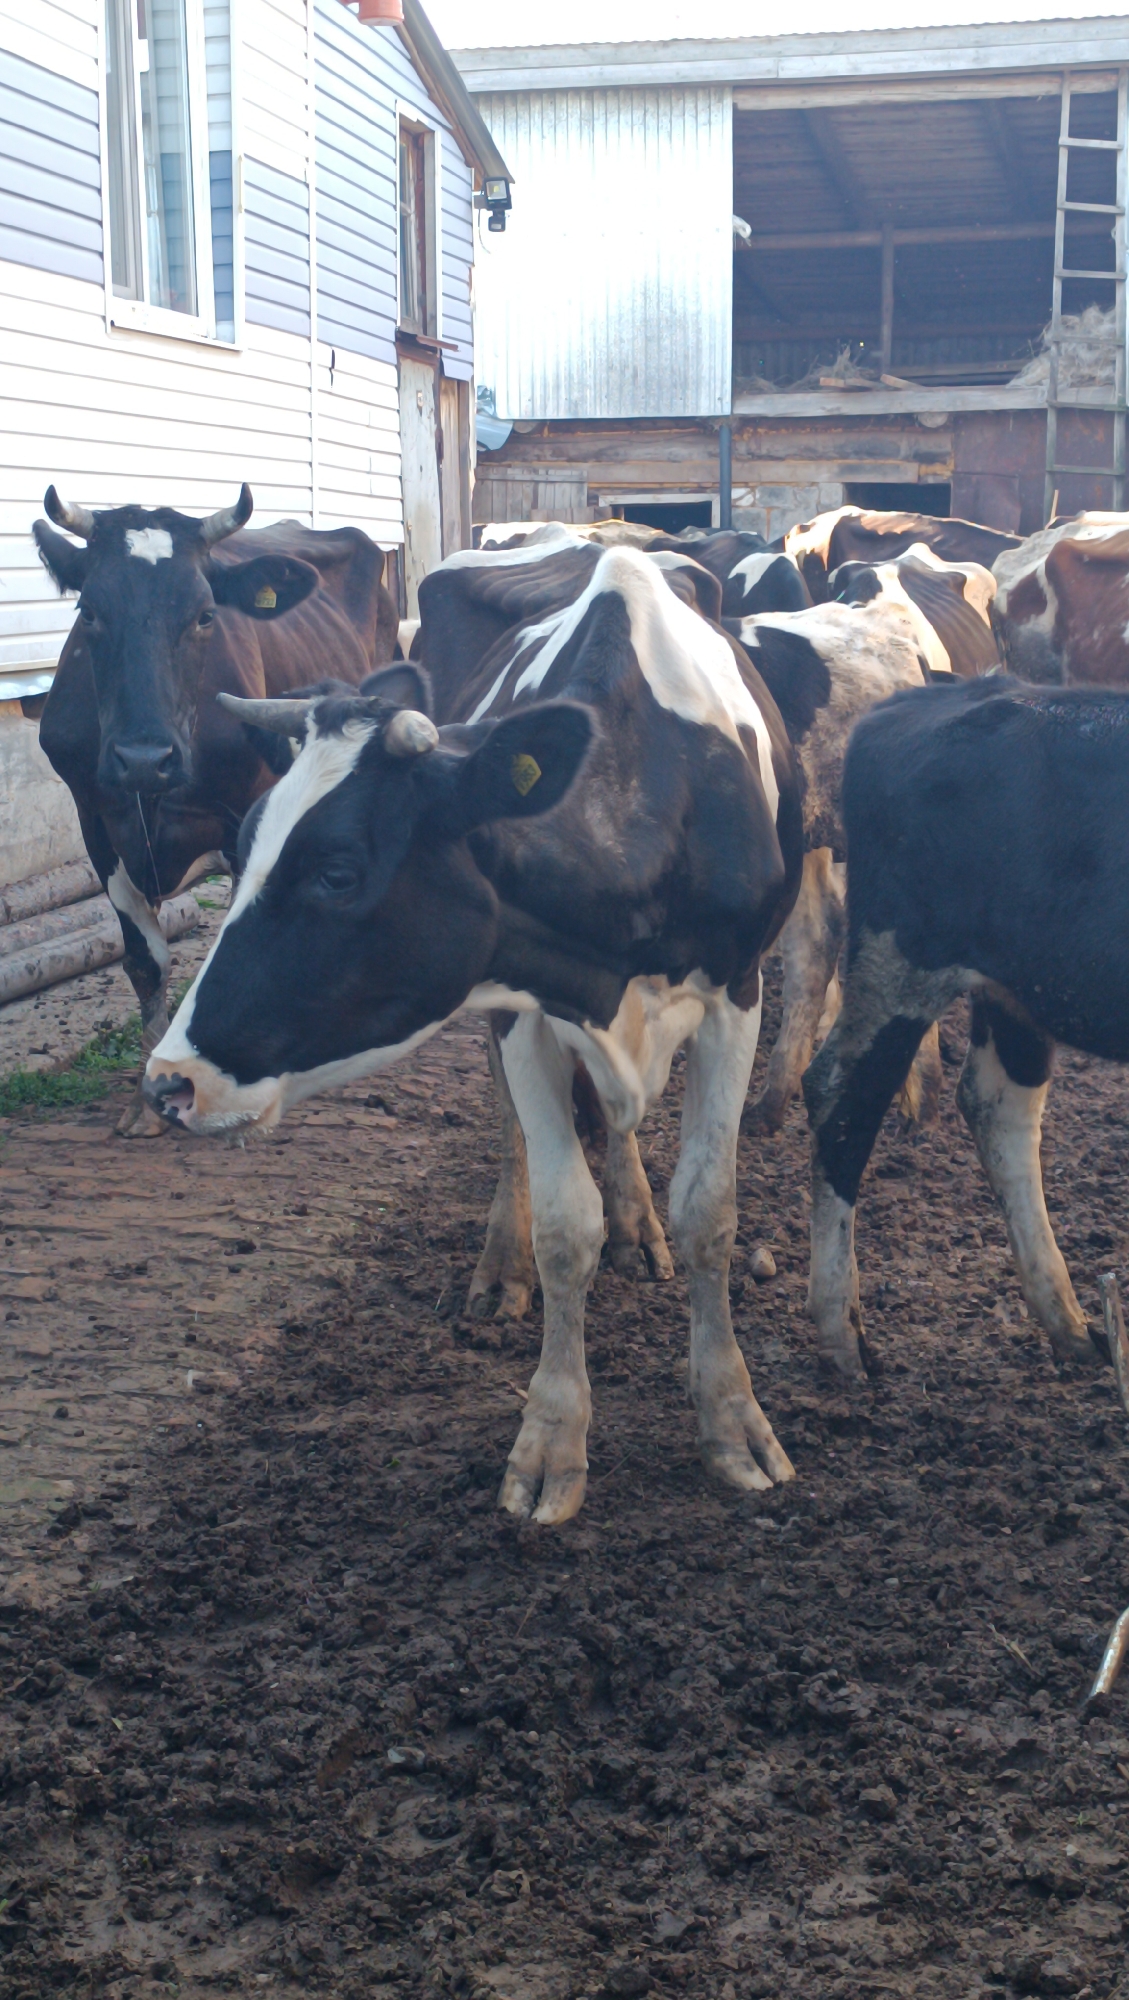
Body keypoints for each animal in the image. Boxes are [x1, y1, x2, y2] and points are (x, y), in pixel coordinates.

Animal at [33, 484, 398, 1132]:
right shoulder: (95, 819)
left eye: (205, 614)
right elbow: (146, 962)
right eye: (89, 611)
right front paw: (145, 1104)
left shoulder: (244, 815)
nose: (144, 757)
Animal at [143, 542, 805, 1521]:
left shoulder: (738, 992)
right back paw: (503, 1265)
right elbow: (565, 1227)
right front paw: (551, 1441)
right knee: (514, 1137)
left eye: (338, 871)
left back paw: (636, 1224)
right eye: (243, 849)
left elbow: (708, 1214)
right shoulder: (521, 1005)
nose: (168, 1080)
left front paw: (733, 1420)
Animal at [802, 674, 1118, 1382]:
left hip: (1016, 987)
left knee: (999, 1107)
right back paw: (841, 1335)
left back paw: (1071, 1323)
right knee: (843, 1097)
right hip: (901, 960)